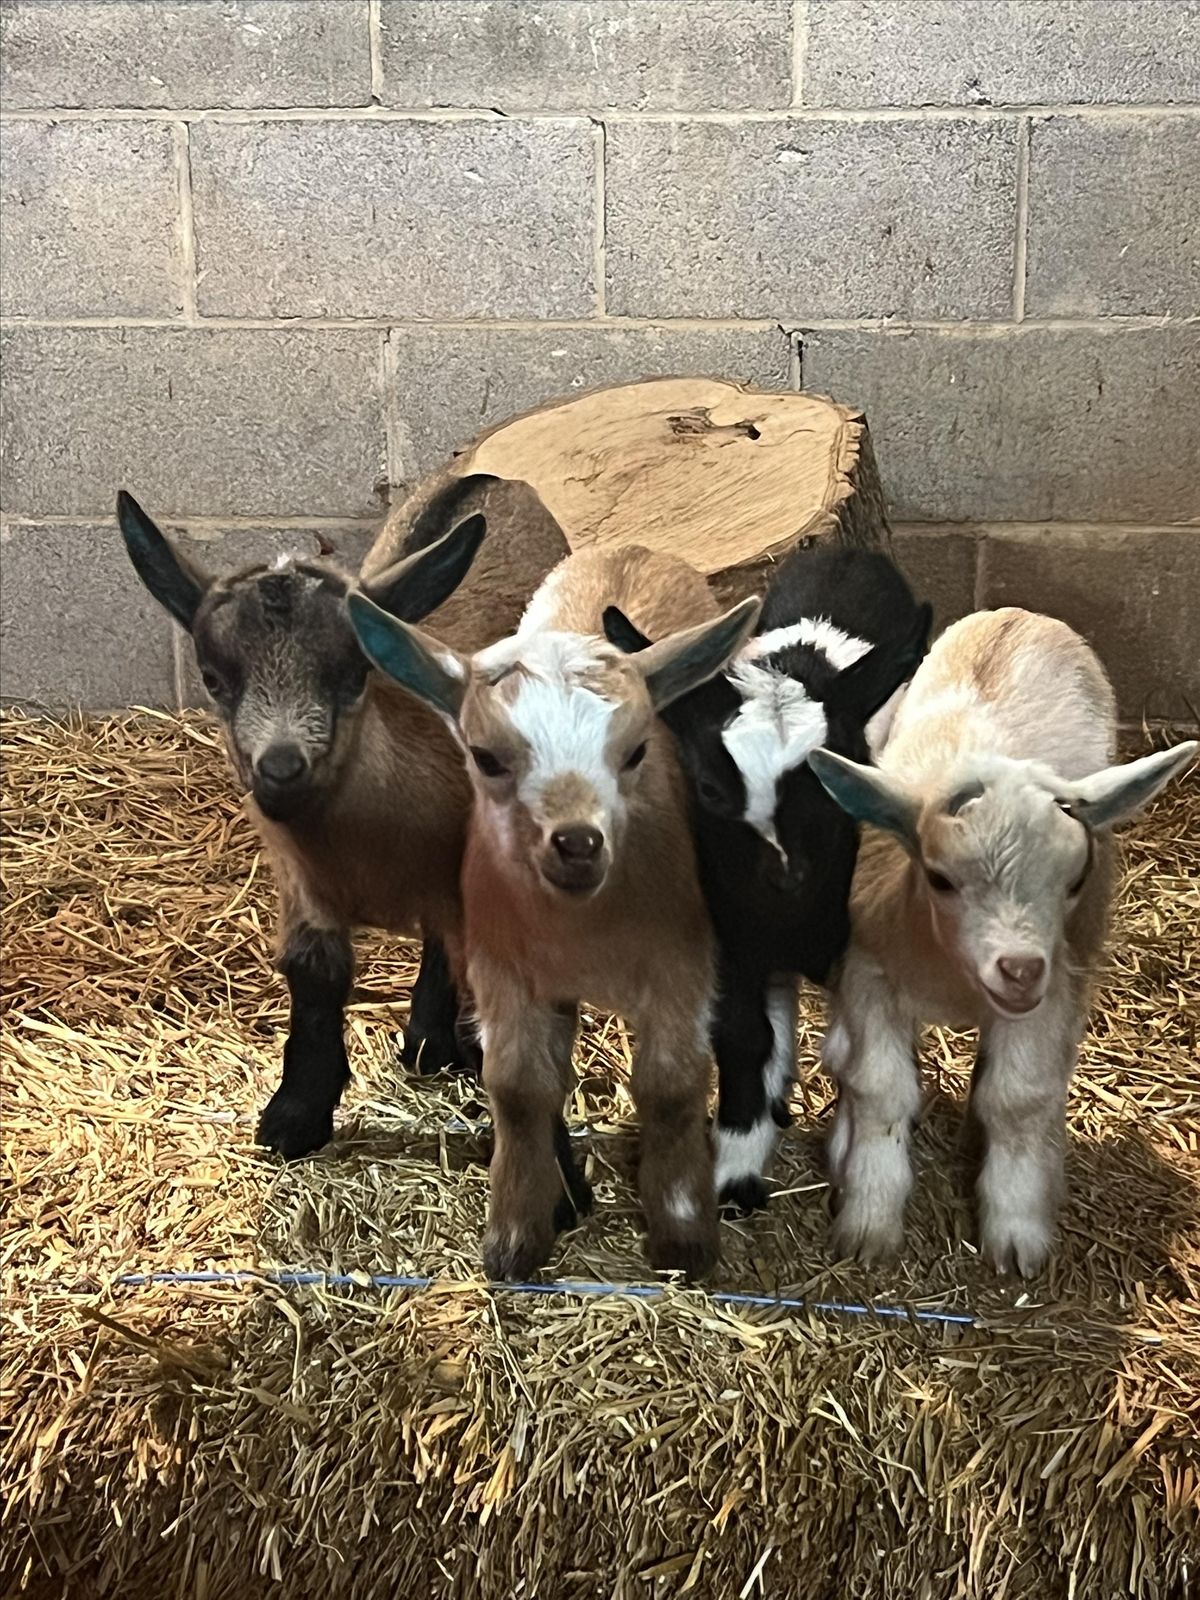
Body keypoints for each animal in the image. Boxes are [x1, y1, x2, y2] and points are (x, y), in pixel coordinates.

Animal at [117, 485, 591, 1224]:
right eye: (214, 677)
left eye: (350, 673)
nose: (281, 767)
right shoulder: (301, 879)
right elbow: (315, 971)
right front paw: (297, 1114)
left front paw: (555, 1181)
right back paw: (429, 1039)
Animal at [349, 546, 759, 1280]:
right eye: (485, 757)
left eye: (636, 751)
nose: (577, 844)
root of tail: (632, 550)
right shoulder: (503, 969)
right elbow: (517, 1087)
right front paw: (515, 1235)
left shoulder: (682, 962)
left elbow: (673, 1085)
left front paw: (683, 1235)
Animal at [604, 544, 931, 1213]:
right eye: (709, 787)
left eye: (840, 775)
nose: (787, 876)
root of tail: (848, 552)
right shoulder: (729, 937)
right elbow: (742, 1036)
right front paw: (736, 1163)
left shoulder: (857, 947)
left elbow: (860, 1053)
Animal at [808, 607, 1197, 1276]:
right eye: (940, 877)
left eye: (1074, 880)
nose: (1019, 969)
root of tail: (1020, 617)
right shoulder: (869, 973)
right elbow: (879, 1088)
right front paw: (868, 1220)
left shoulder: (1051, 988)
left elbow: (1017, 1099)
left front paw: (1017, 1230)